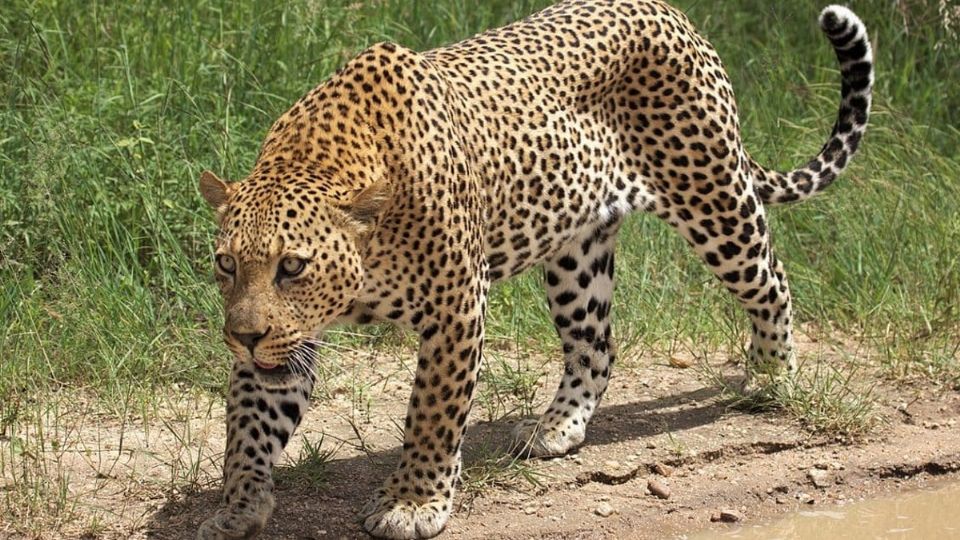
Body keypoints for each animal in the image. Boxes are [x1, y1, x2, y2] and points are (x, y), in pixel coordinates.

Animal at [193, 2, 872, 536]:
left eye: (293, 266)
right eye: (226, 264)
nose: (243, 336)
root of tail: (674, 14)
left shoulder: (456, 305)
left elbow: (433, 412)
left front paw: (414, 503)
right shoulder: (284, 341)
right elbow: (248, 424)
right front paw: (237, 506)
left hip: (714, 199)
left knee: (772, 281)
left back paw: (771, 377)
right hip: (577, 256)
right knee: (596, 346)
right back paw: (557, 428)